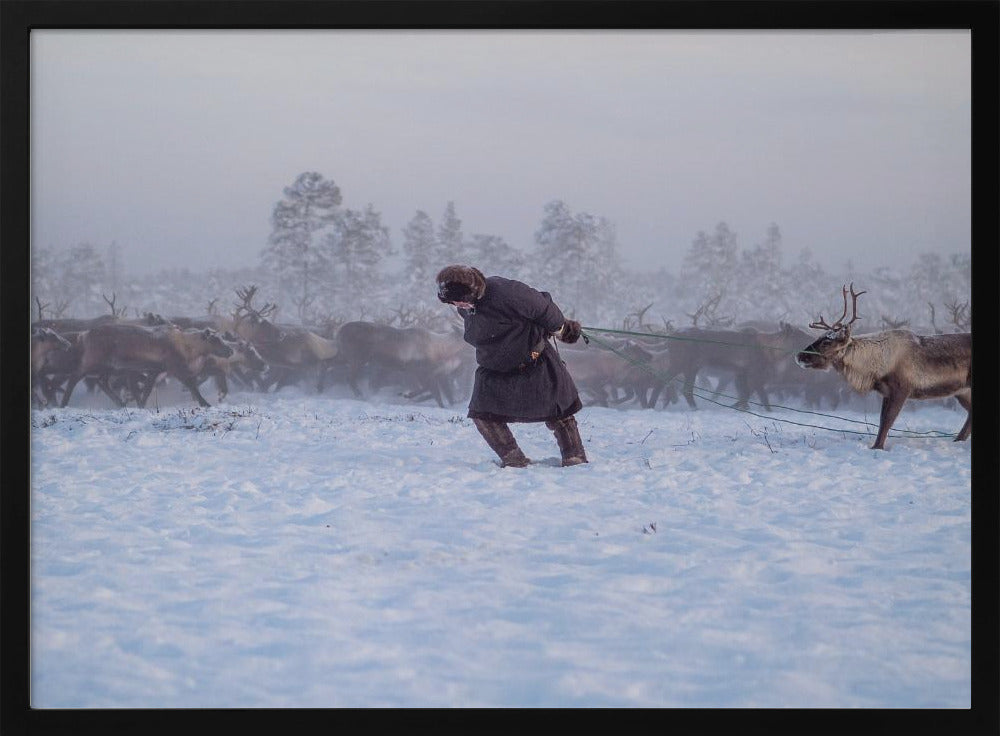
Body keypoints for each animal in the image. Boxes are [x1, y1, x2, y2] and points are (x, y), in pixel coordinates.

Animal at [796, 284, 972, 450]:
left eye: (827, 342)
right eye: (820, 337)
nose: (799, 356)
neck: (876, 368)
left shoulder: (902, 388)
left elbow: (887, 420)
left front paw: (877, 447)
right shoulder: (887, 392)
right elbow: (881, 420)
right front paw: (876, 446)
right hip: (962, 391)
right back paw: (958, 440)